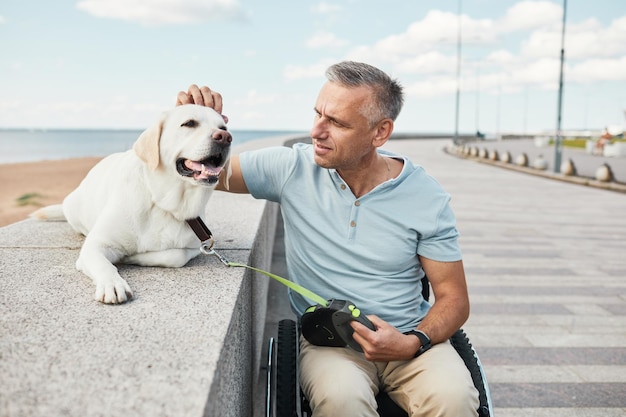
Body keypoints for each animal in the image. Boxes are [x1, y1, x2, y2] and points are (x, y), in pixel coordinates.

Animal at [30, 105, 230, 302]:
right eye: (189, 123)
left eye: (223, 127)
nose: (225, 137)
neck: (162, 203)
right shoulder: (95, 245)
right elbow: (103, 264)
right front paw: (112, 284)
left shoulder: (196, 247)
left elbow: (176, 255)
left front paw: (131, 257)